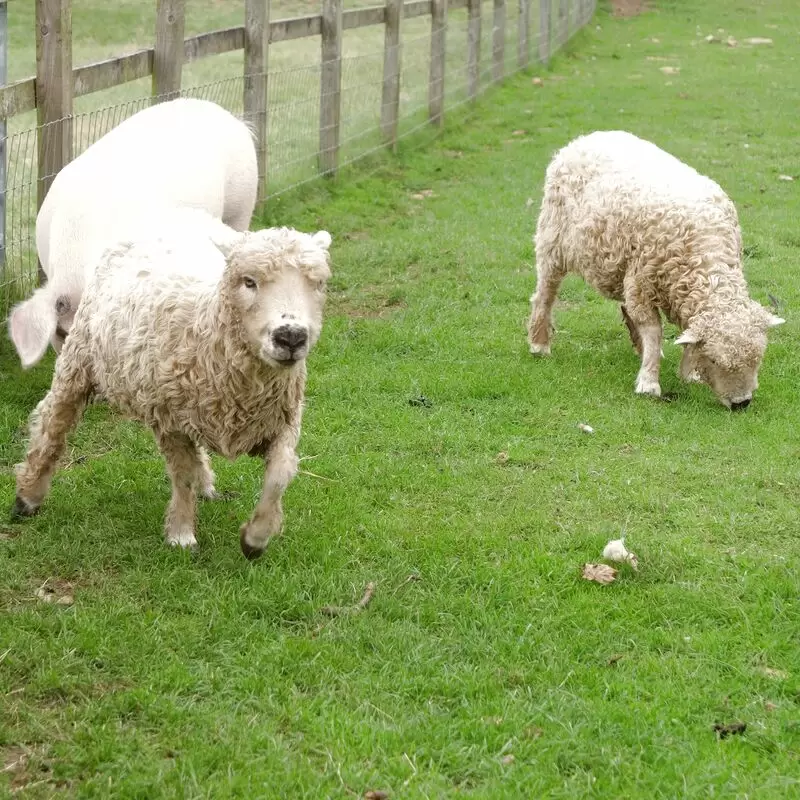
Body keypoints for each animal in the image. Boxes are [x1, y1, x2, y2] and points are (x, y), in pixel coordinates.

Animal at [12, 216, 332, 560]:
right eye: (249, 282)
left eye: (318, 284)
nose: (291, 337)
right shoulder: (170, 421)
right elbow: (182, 476)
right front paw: (181, 533)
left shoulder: (283, 420)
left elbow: (279, 476)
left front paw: (255, 539)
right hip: (79, 359)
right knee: (52, 422)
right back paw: (28, 496)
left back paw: (207, 485)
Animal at [528, 130, 784, 410]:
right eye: (715, 360)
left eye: (758, 358)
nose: (741, 403)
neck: (705, 250)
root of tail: (585, 138)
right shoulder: (642, 282)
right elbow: (653, 331)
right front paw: (649, 381)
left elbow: (684, 334)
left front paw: (688, 372)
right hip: (552, 240)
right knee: (545, 294)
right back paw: (539, 344)